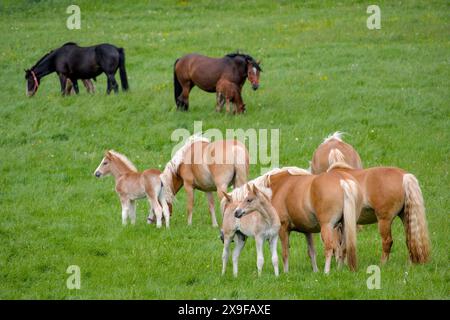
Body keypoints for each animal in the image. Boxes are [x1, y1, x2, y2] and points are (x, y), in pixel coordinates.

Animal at [221, 166, 362, 274]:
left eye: (225, 210)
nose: (222, 236)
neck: (277, 188)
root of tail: (342, 180)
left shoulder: (283, 229)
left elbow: (284, 253)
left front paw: (285, 272)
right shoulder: (307, 231)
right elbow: (311, 252)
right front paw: (315, 271)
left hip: (327, 227)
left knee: (329, 247)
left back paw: (327, 272)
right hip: (345, 227)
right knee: (343, 248)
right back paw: (339, 270)